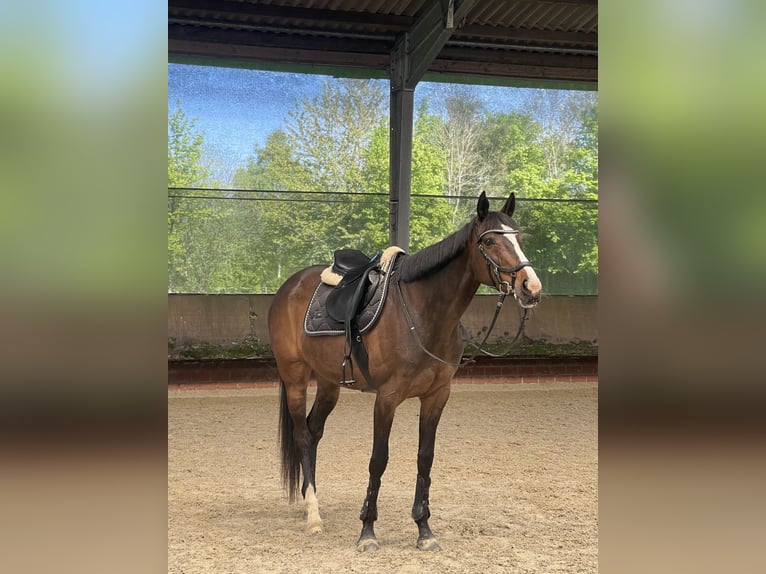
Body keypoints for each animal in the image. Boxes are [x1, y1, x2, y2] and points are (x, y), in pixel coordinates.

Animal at [267, 191, 542, 552]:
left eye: (520, 238)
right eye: (490, 241)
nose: (531, 287)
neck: (422, 313)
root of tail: (290, 287)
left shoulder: (436, 397)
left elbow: (425, 458)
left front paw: (424, 530)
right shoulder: (386, 398)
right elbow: (378, 459)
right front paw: (367, 531)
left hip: (329, 383)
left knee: (313, 432)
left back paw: (309, 500)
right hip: (295, 377)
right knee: (301, 435)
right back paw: (313, 515)